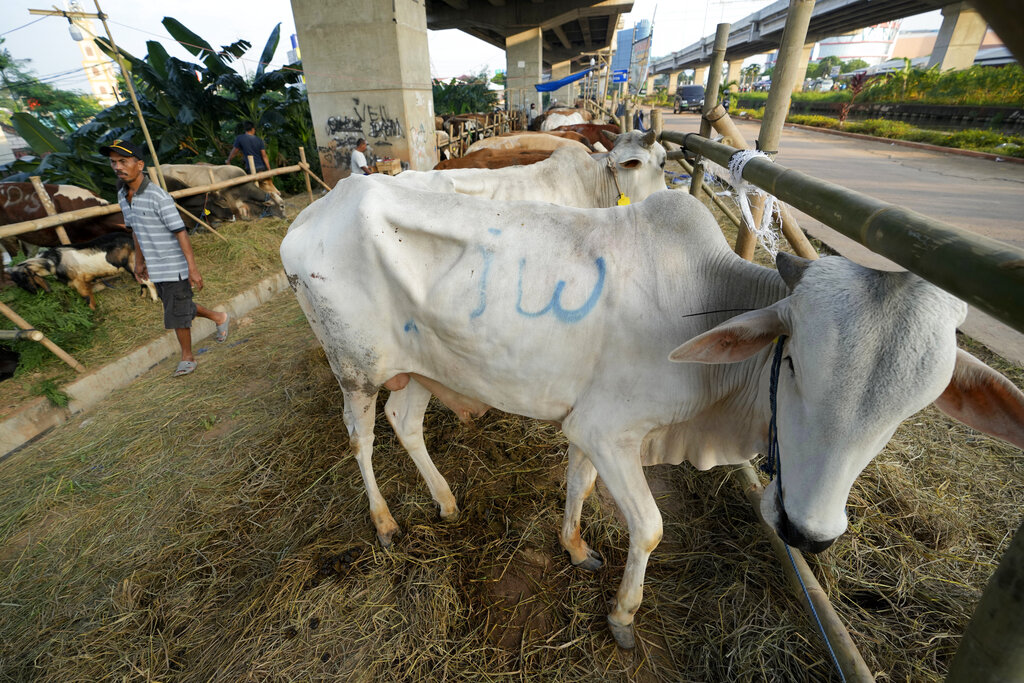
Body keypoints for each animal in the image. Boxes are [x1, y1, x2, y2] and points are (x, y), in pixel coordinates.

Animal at [8, 233, 156, 311]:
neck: (54, 261)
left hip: (133, 264)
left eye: (23, 278)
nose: (33, 292)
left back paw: (154, 300)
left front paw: (93, 313)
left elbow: (86, 298)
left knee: (149, 281)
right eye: (18, 283)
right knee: (142, 281)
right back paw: (142, 296)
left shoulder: (78, 281)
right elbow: (92, 292)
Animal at [280, 183, 1024, 651]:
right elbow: (652, 526)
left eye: (909, 411)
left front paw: (576, 546)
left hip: (422, 369)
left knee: (405, 420)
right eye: (793, 363)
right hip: (355, 369)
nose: (803, 531)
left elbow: (577, 485)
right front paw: (622, 614)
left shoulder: (587, 424)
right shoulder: (609, 431)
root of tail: (318, 210)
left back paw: (445, 500)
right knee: (361, 436)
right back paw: (384, 521)